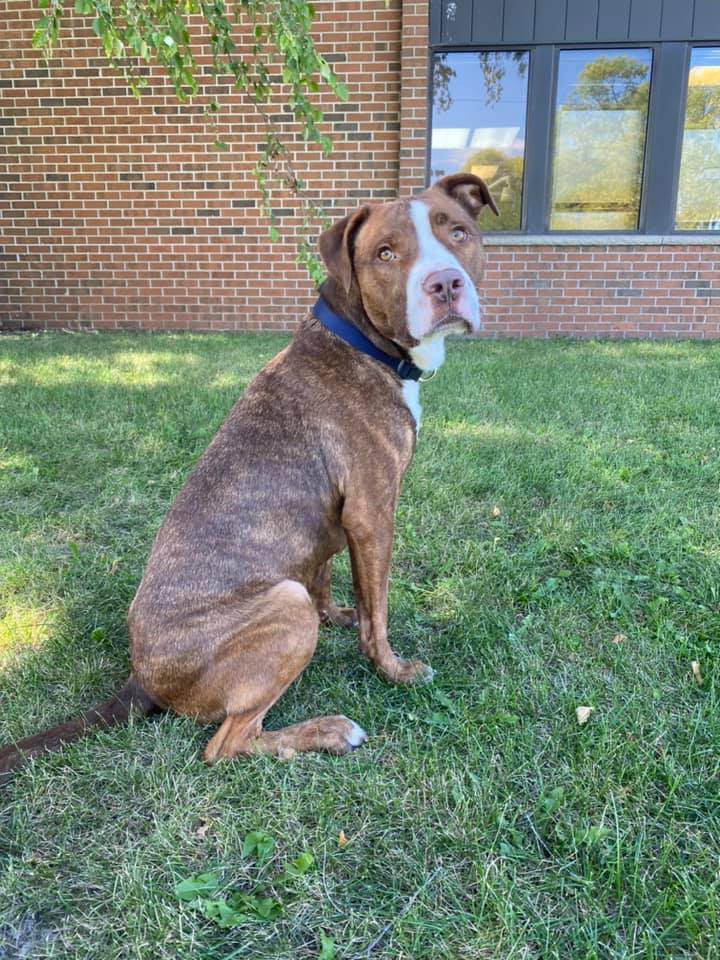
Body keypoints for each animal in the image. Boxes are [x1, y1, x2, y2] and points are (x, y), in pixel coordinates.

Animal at [0, 172, 496, 772]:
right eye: (385, 253)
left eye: (458, 232)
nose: (445, 283)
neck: (359, 341)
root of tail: (141, 680)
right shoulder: (372, 513)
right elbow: (377, 614)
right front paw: (394, 671)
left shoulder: (335, 523)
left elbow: (326, 574)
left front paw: (339, 615)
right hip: (283, 608)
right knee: (226, 744)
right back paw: (327, 732)